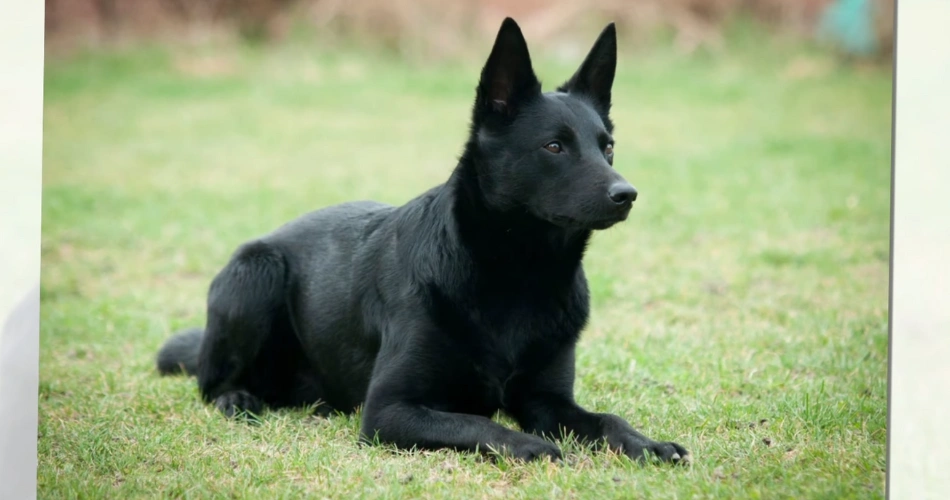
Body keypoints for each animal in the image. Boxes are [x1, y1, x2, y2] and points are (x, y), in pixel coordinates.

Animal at [158, 18, 692, 464]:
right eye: (554, 146)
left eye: (608, 147)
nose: (627, 194)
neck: (517, 276)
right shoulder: (389, 411)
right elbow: (480, 424)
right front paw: (532, 446)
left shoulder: (548, 399)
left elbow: (607, 420)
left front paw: (646, 443)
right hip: (256, 271)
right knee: (211, 383)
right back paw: (237, 396)